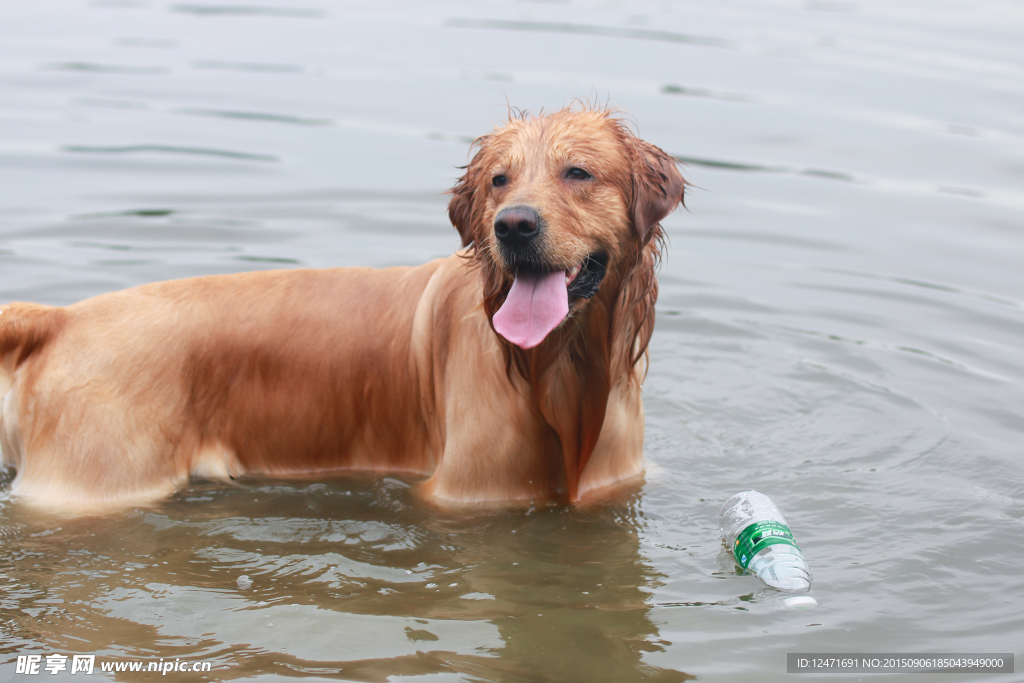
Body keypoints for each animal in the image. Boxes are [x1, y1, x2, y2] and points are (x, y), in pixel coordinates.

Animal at [4, 108, 688, 511]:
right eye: (499, 179)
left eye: (579, 172)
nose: (513, 224)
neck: (557, 368)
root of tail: (62, 318)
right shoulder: (469, 499)